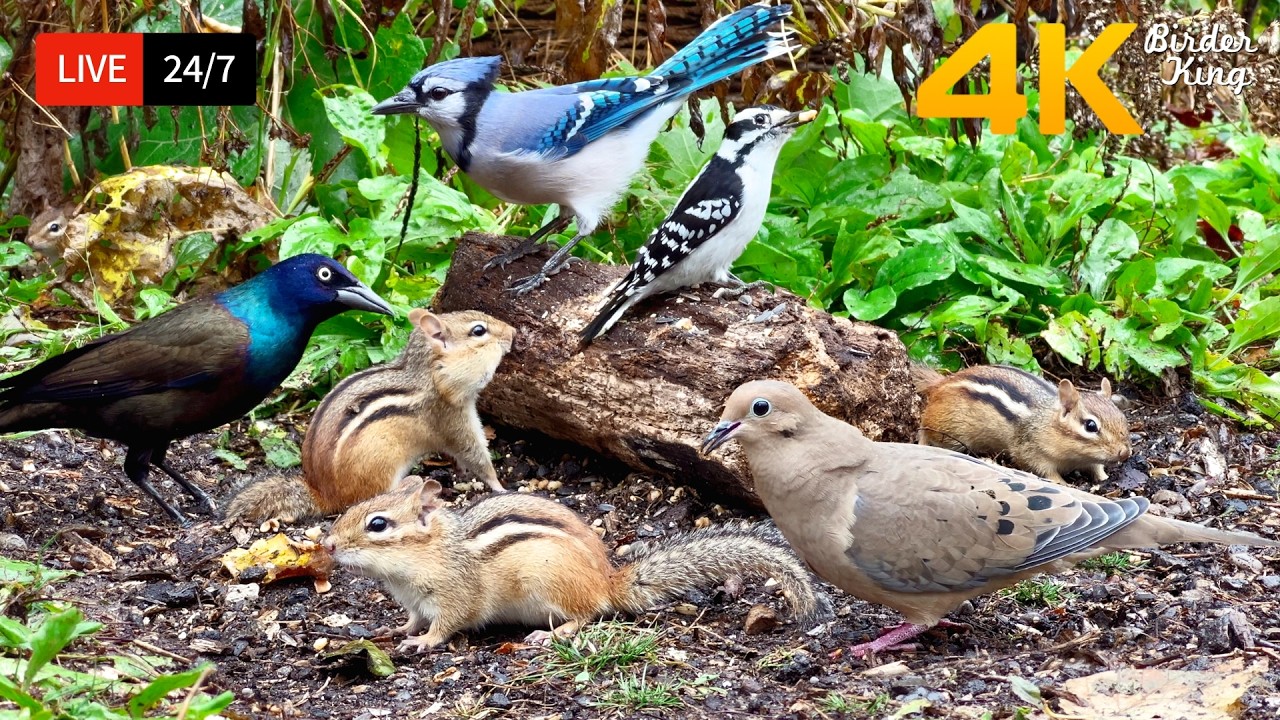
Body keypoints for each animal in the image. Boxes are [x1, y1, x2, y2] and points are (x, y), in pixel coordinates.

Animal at [224, 308, 515, 523]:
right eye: (479, 331)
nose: (513, 332)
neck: (431, 376)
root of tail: (323, 495)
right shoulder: (451, 417)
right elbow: (474, 453)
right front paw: (500, 486)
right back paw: (413, 483)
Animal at [322, 475, 828, 653]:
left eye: (378, 524)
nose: (326, 545)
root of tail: (607, 582)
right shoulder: (412, 601)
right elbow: (409, 618)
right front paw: (394, 631)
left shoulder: (454, 596)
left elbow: (446, 625)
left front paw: (422, 642)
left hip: (550, 586)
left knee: (587, 615)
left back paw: (552, 633)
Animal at [912, 364, 1131, 483]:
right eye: (1090, 426)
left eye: (1122, 417)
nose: (1125, 453)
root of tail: (940, 384)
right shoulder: (1031, 451)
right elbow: (1043, 469)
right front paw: (1063, 482)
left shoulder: (1090, 459)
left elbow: (1096, 467)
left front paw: (1104, 478)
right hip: (948, 431)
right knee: (924, 427)